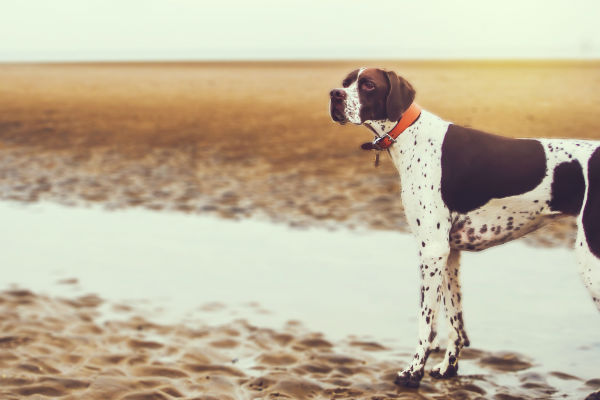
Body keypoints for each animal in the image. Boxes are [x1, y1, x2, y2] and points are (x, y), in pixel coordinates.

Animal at [328, 68, 600, 388]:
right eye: (345, 82)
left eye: (368, 84)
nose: (334, 94)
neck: (411, 135)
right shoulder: (449, 253)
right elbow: (455, 323)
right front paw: (448, 368)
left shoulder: (432, 250)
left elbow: (427, 323)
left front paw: (413, 372)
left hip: (591, 260)